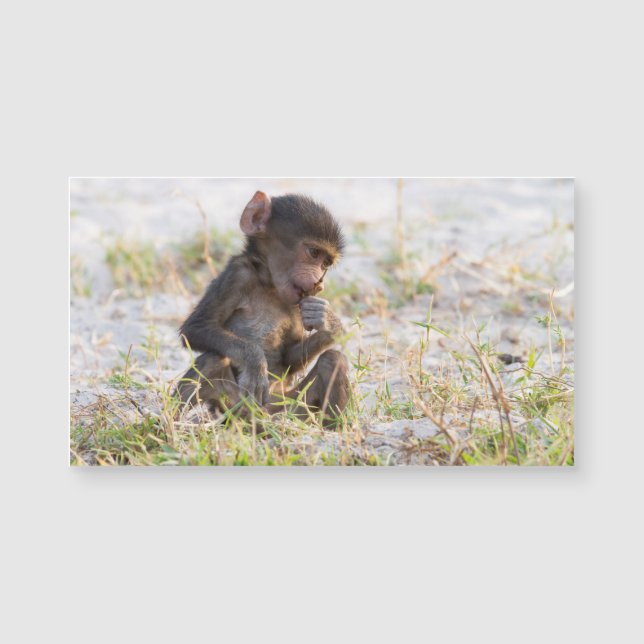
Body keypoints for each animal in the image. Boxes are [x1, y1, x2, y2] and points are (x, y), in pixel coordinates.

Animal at [175, 190, 350, 426]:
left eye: (326, 264)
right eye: (314, 253)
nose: (319, 283)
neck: (269, 285)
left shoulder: (296, 304)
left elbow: (289, 357)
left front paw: (328, 322)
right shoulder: (238, 274)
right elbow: (195, 328)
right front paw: (255, 362)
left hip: (290, 407)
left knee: (333, 360)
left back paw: (331, 429)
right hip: (233, 407)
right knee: (212, 359)